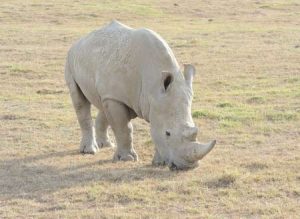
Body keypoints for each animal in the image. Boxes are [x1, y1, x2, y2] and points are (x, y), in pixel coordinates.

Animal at [65, 20, 216, 170]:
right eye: (167, 133)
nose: (188, 167)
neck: (153, 87)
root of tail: (80, 40)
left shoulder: (153, 102)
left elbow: (152, 128)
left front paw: (158, 162)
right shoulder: (120, 98)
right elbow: (123, 128)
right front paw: (127, 159)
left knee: (103, 103)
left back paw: (107, 145)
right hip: (70, 59)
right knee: (80, 102)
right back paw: (89, 151)